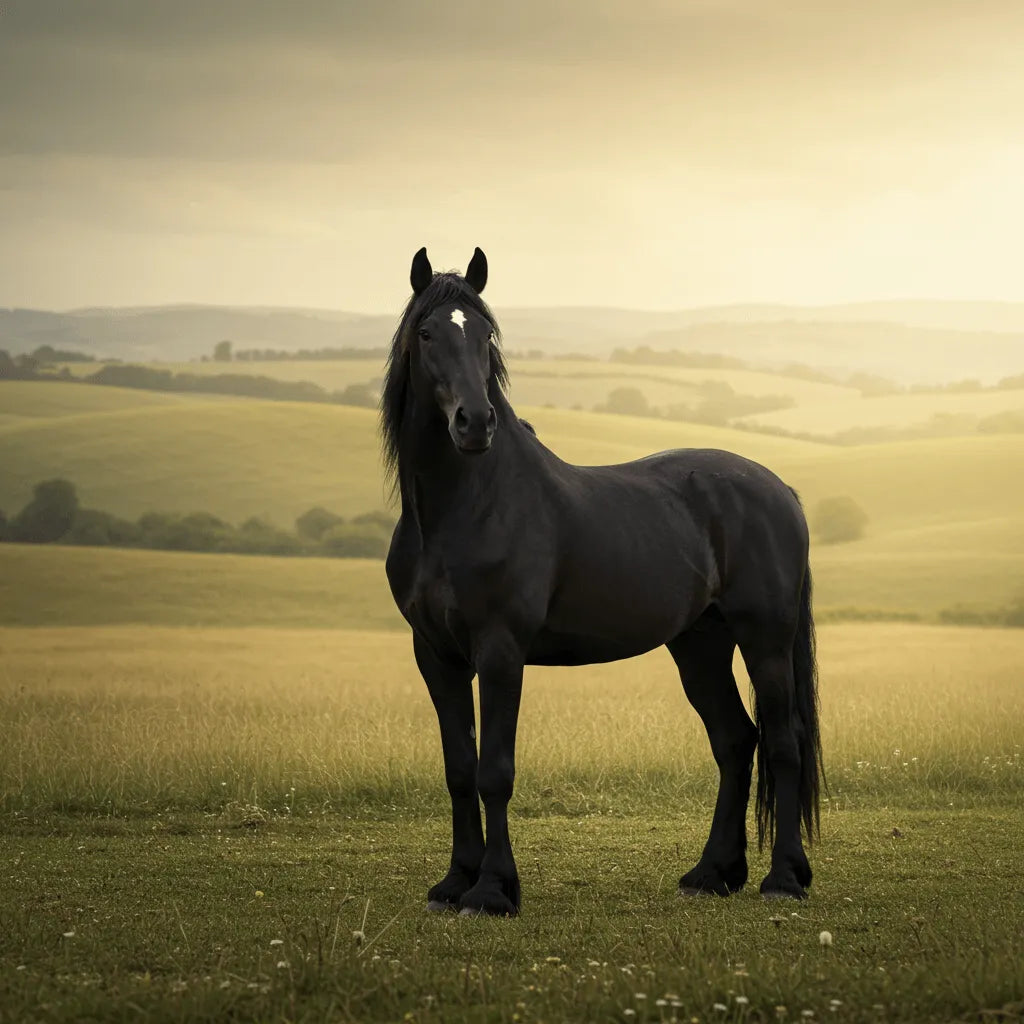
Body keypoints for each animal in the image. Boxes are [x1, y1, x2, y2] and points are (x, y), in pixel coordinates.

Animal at [382, 247, 823, 916]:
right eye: (427, 333)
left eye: (486, 335)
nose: (474, 423)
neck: (466, 509)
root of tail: (781, 491)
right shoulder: (436, 654)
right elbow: (459, 768)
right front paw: (454, 883)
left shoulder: (500, 650)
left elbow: (494, 771)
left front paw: (492, 890)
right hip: (699, 645)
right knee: (734, 741)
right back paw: (712, 873)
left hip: (765, 639)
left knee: (782, 740)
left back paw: (784, 879)